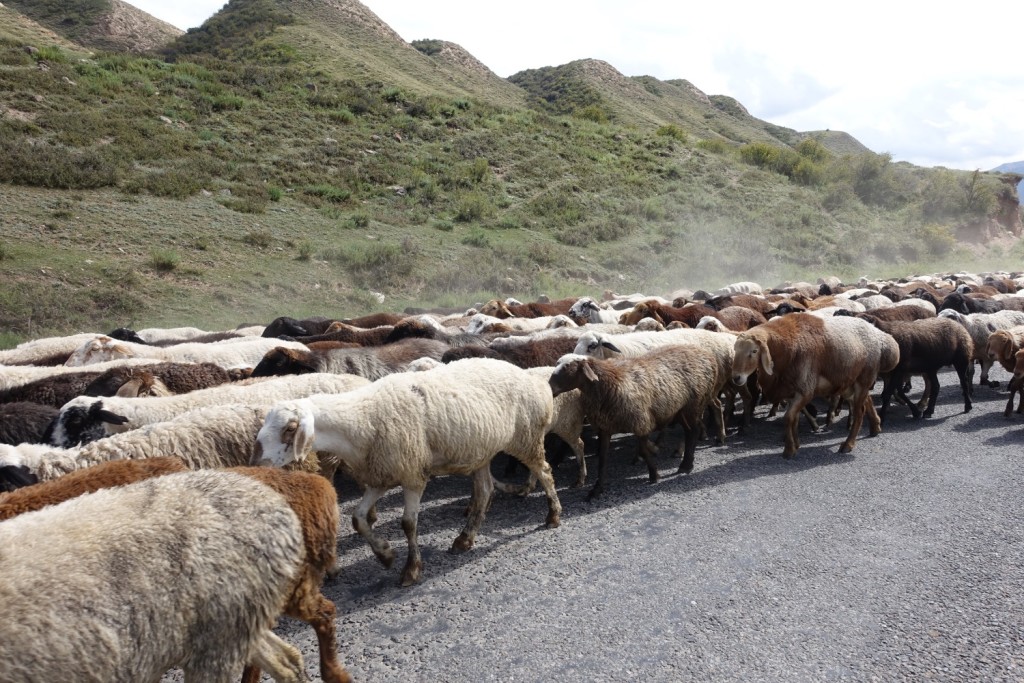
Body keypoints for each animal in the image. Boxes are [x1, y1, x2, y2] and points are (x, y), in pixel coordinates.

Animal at [253, 358, 561, 589]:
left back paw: (553, 516)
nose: (262, 467)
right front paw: (385, 555)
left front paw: (411, 570)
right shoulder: (381, 475)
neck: (361, 419)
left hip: (526, 437)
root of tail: (530, 377)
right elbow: (358, 518)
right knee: (484, 491)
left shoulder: (412, 474)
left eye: (290, 429)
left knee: (545, 472)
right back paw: (465, 539)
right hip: (481, 450)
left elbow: (408, 524)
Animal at [733, 315, 901, 458]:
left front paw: (789, 449)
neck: (787, 348)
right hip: (849, 381)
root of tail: (881, 337)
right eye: (735, 350)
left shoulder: (805, 390)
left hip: (863, 378)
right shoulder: (791, 390)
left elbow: (788, 418)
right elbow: (794, 418)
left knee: (859, 412)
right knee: (867, 401)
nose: (736, 377)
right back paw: (875, 428)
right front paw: (796, 444)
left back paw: (848, 445)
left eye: (754, 351)